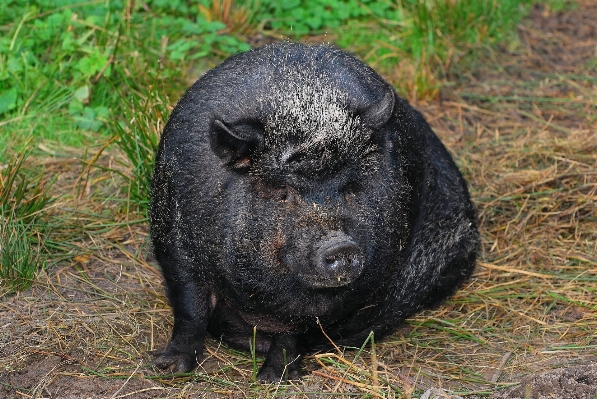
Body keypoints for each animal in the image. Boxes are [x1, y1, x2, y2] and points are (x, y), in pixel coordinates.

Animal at [150, 42, 480, 382]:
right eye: (282, 191)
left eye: (352, 186)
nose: (339, 244)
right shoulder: (174, 241)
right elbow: (190, 306)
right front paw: (168, 368)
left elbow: (299, 328)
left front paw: (272, 379)